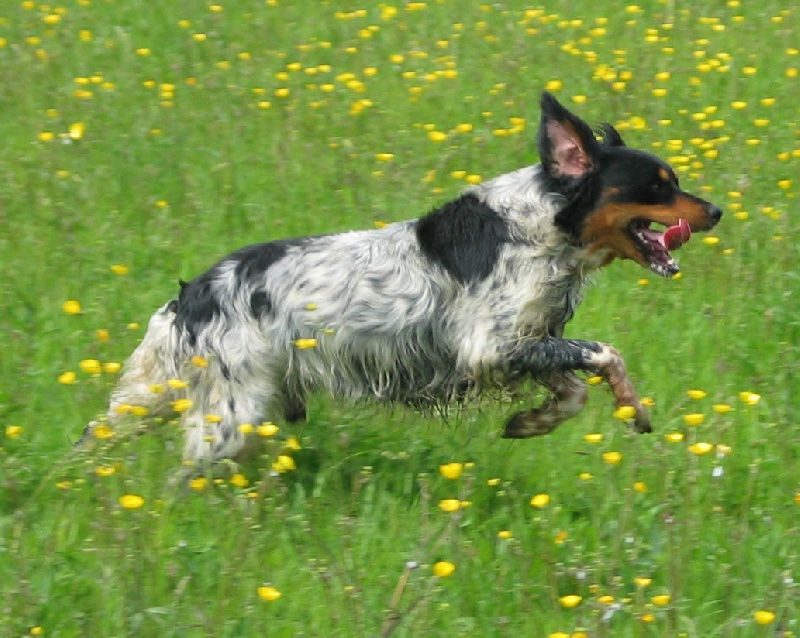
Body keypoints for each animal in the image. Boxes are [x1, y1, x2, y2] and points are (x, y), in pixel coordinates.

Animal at [81, 92, 720, 462]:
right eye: (659, 184)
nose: (715, 211)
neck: (539, 226)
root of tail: (191, 297)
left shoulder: (527, 342)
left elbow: (572, 390)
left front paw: (529, 422)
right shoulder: (489, 346)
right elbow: (605, 354)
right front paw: (631, 405)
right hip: (232, 413)